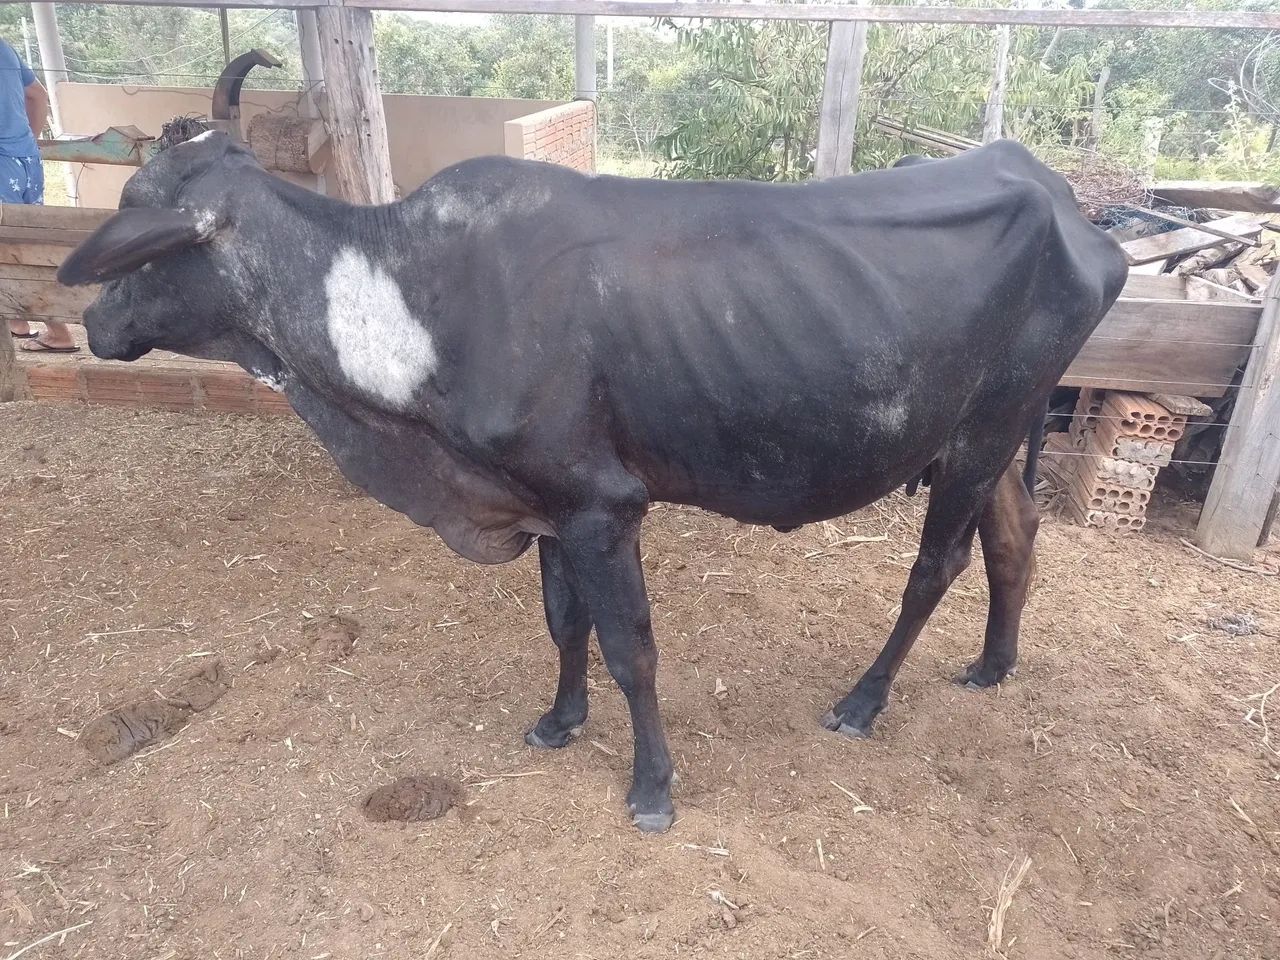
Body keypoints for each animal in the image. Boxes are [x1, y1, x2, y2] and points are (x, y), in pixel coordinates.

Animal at [57, 133, 1128, 832]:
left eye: (140, 233)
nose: (93, 325)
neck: (412, 302)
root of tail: (1058, 194)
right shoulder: (544, 508)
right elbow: (564, 625)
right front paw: (559, 721)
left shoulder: (603, 507)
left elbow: (631, 651)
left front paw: (651, 788)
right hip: (982, 441)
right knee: (1015, 536)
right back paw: (993, 663)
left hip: (981, 434)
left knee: (935, 565)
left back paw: (863, 701)